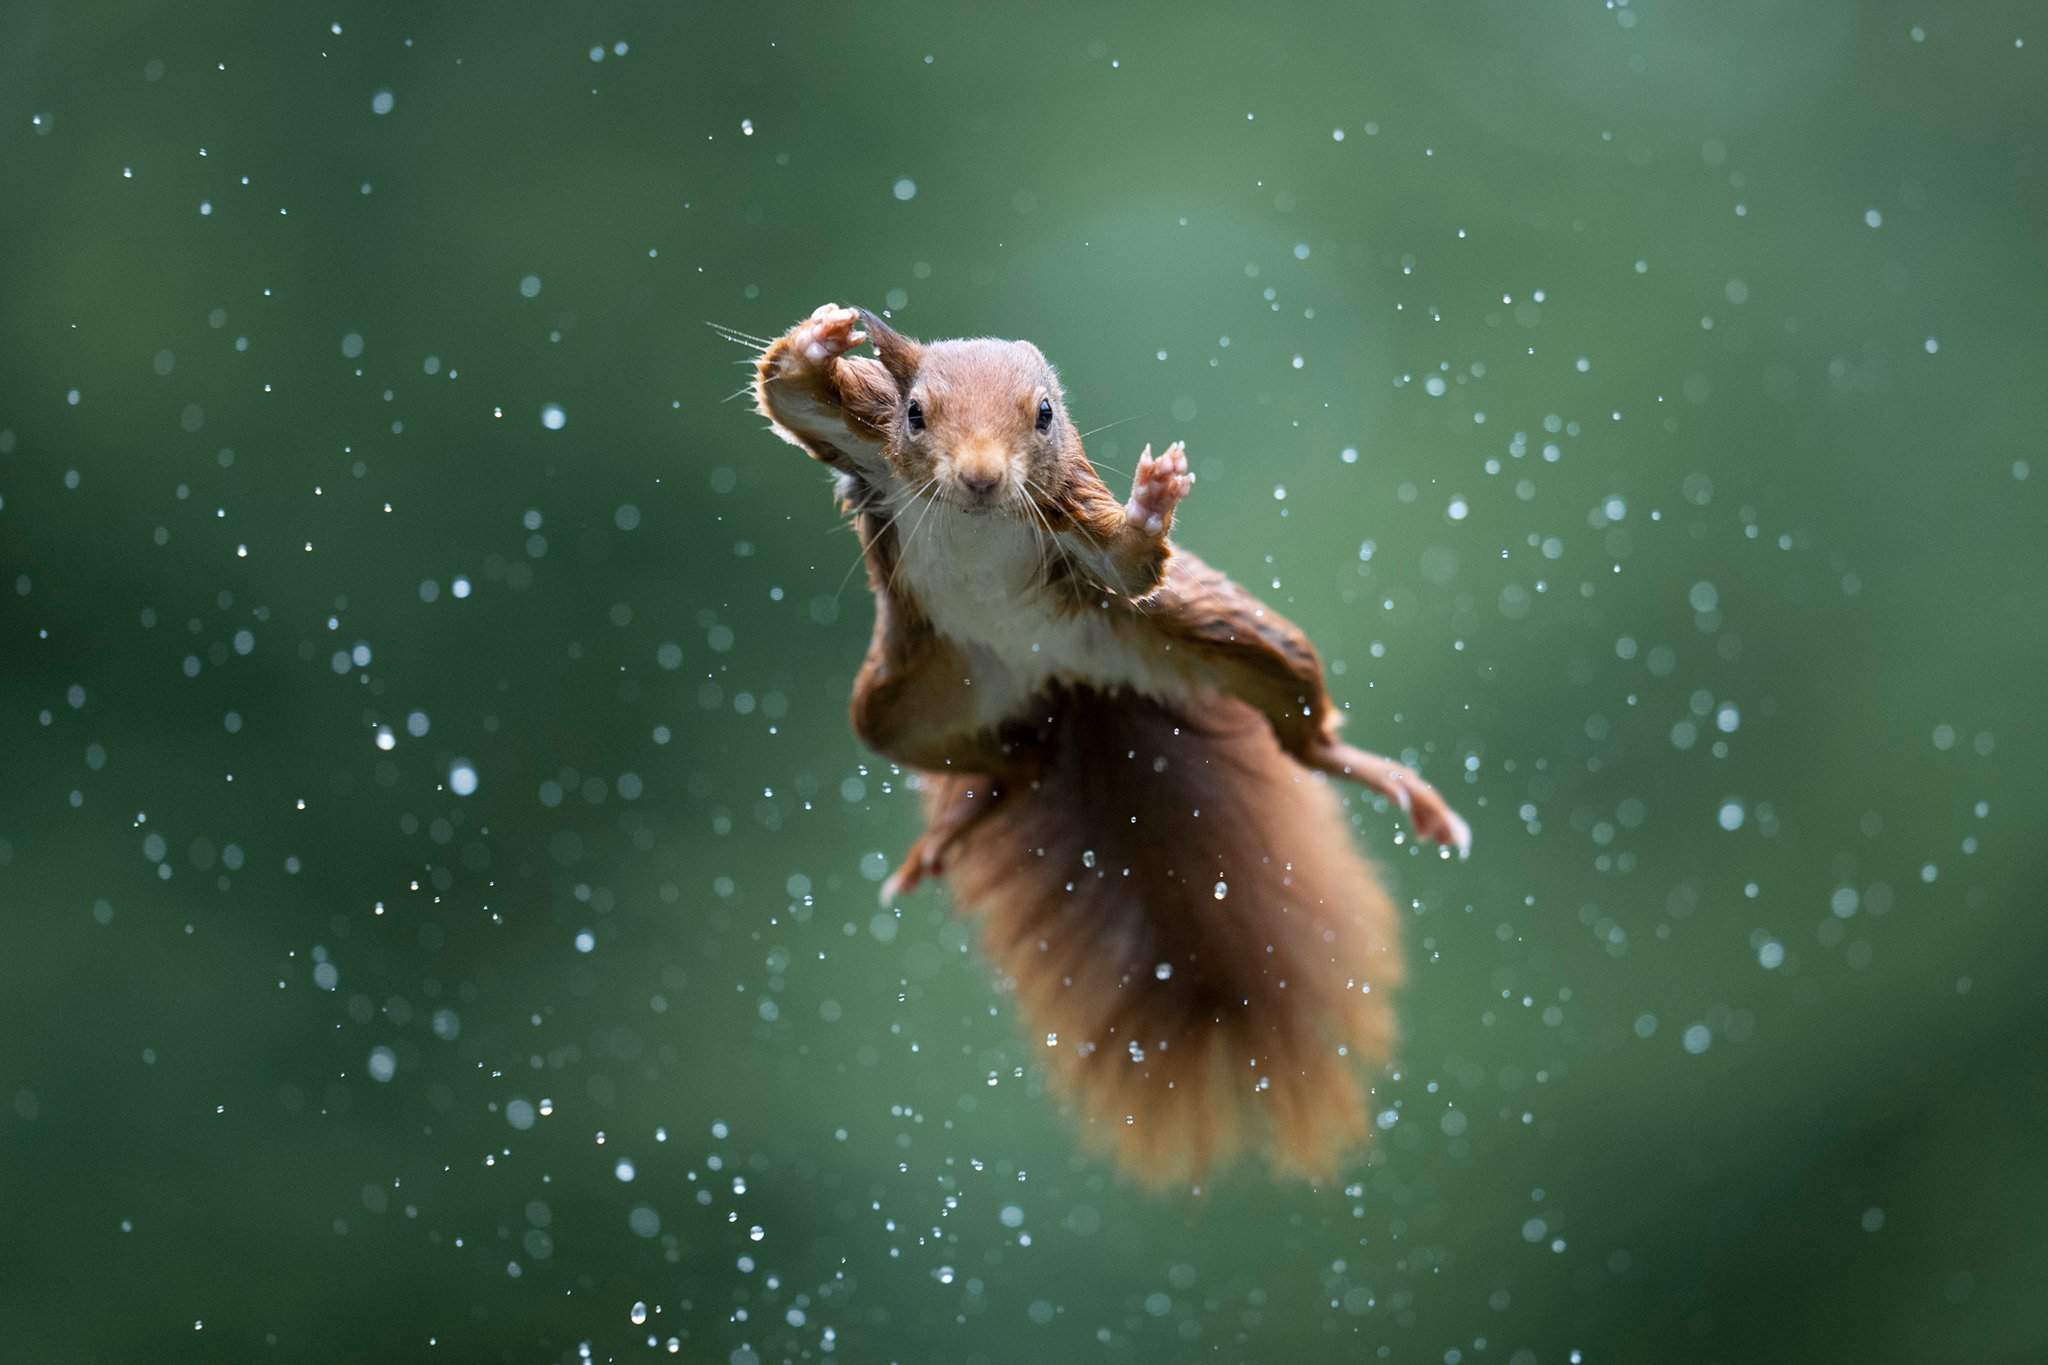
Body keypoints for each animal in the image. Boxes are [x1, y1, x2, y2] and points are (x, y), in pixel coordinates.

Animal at [745, 306, 1466, 1186]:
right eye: (915, 413)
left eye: (1044, 413)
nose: (981, 477)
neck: (980, 519)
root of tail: (1064, 682)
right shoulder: (866, 443)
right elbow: (788, 394)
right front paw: (821, 337)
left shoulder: (1071, 518)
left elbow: (1129, 561)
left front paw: (1153, 502)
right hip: (906, 701)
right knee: (1014, 763)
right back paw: (956, 825)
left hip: (1223, 636)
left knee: (1301, 732)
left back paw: (1396, 785)